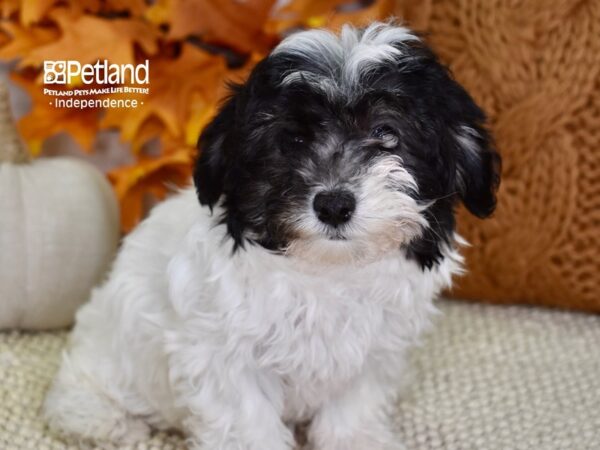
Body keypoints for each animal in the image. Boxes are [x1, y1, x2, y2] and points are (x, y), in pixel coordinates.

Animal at [43, 22, 502, 450]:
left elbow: (352, 406)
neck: (328, 270)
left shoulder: (374, 351)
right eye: (293, 139)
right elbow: (247, 423)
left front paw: (358, 438)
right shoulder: (225, 357)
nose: (333, 205)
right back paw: (112, 422)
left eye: (387, 134)